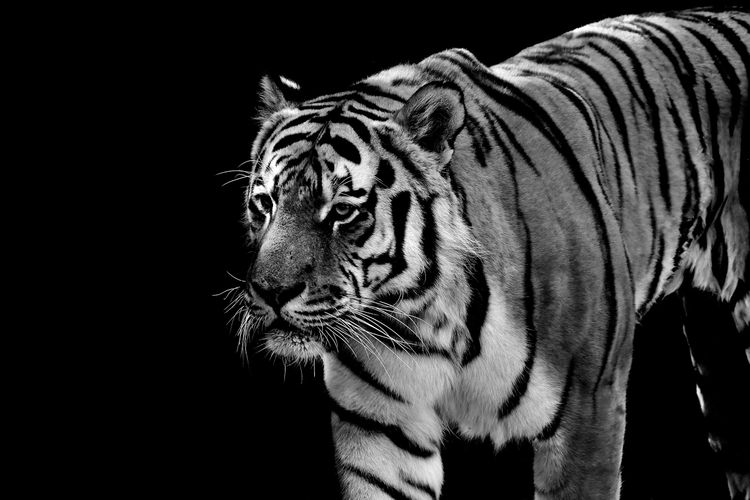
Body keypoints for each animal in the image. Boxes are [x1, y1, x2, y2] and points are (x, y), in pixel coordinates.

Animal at [234, 8, 750, 499]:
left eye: (342, 210)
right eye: (265, 203)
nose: (271, 292)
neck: (423, 316)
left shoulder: (589, 410)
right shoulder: (380, 427)